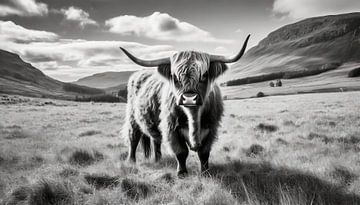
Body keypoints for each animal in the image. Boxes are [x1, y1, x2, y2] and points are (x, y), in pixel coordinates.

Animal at [119, 34, 249, 176]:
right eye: (175, 78)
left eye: (204, 75)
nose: (189, 99)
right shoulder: (171, 128)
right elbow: (181, 152)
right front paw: (182, 173)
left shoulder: (211, 128)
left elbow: (204, 153)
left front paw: (205, 172)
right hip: (132, 118)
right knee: (133, 138)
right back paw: (131, 161)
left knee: (156, 140)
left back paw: (158, 160)